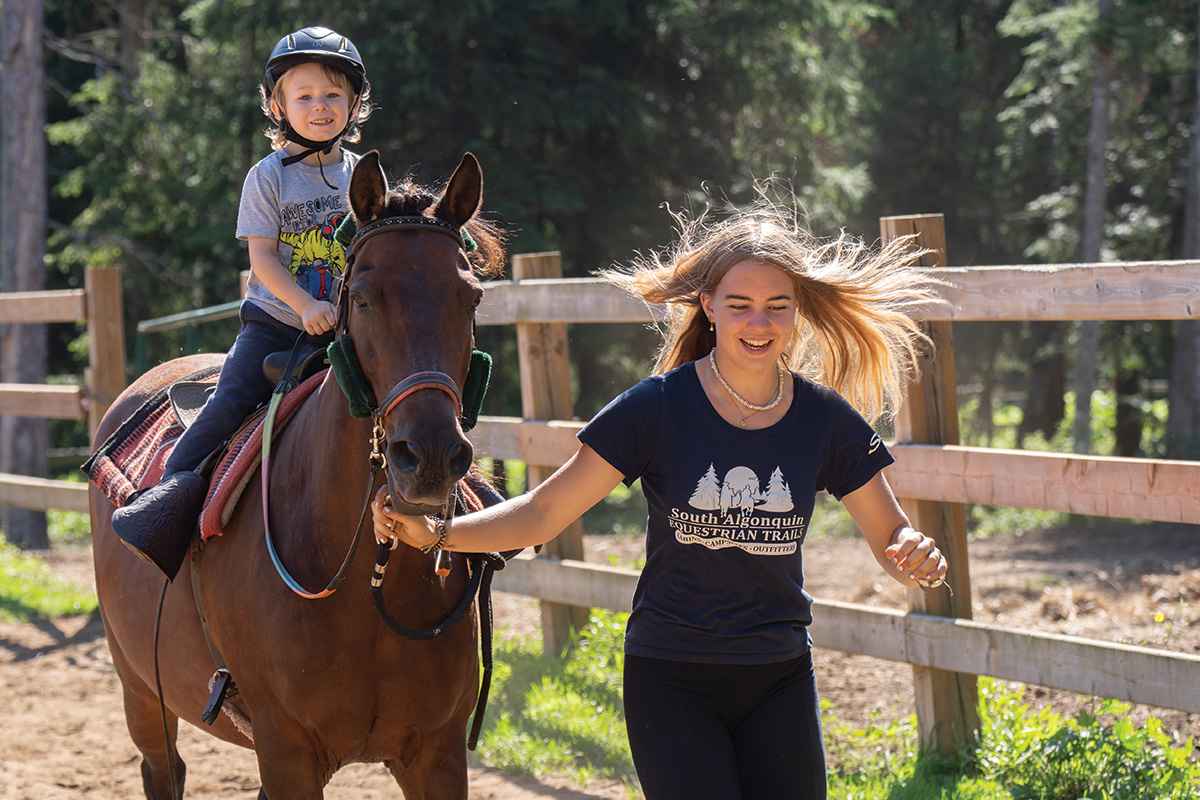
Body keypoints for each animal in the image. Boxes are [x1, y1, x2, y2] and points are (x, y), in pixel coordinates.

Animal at [89, 151, 505, 799]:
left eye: (471, 299)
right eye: (363, 299)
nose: (431, 457)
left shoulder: (436, 753)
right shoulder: (287, 751)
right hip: (140, 690)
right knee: (163, 769)